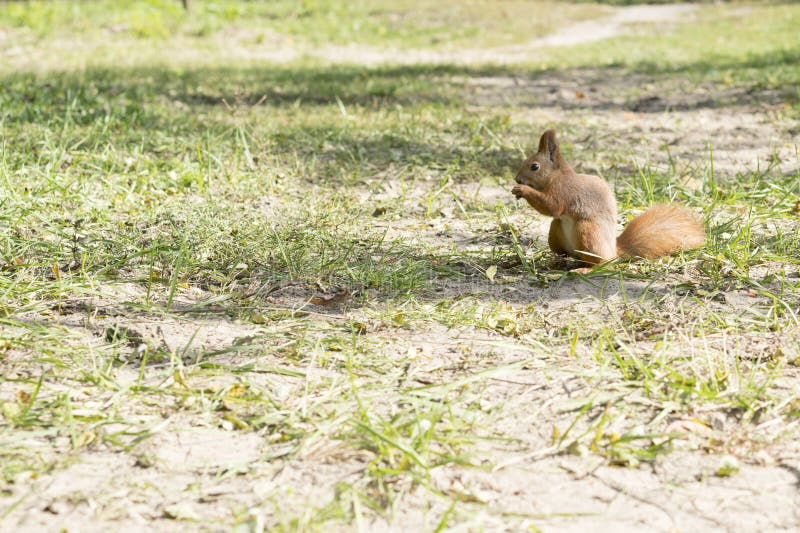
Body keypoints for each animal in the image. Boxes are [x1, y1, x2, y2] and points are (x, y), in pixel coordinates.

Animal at [511, 130, 705, 269]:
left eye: (534, 166)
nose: (517, 179)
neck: (557, 177)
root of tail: (613, 252)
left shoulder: (563, 192)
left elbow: (552, 207)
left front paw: (523, 190)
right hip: (556, 231)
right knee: (571, 254)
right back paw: (558, 262)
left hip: (587, 230)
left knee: (600, 264)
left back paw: (584, 269)